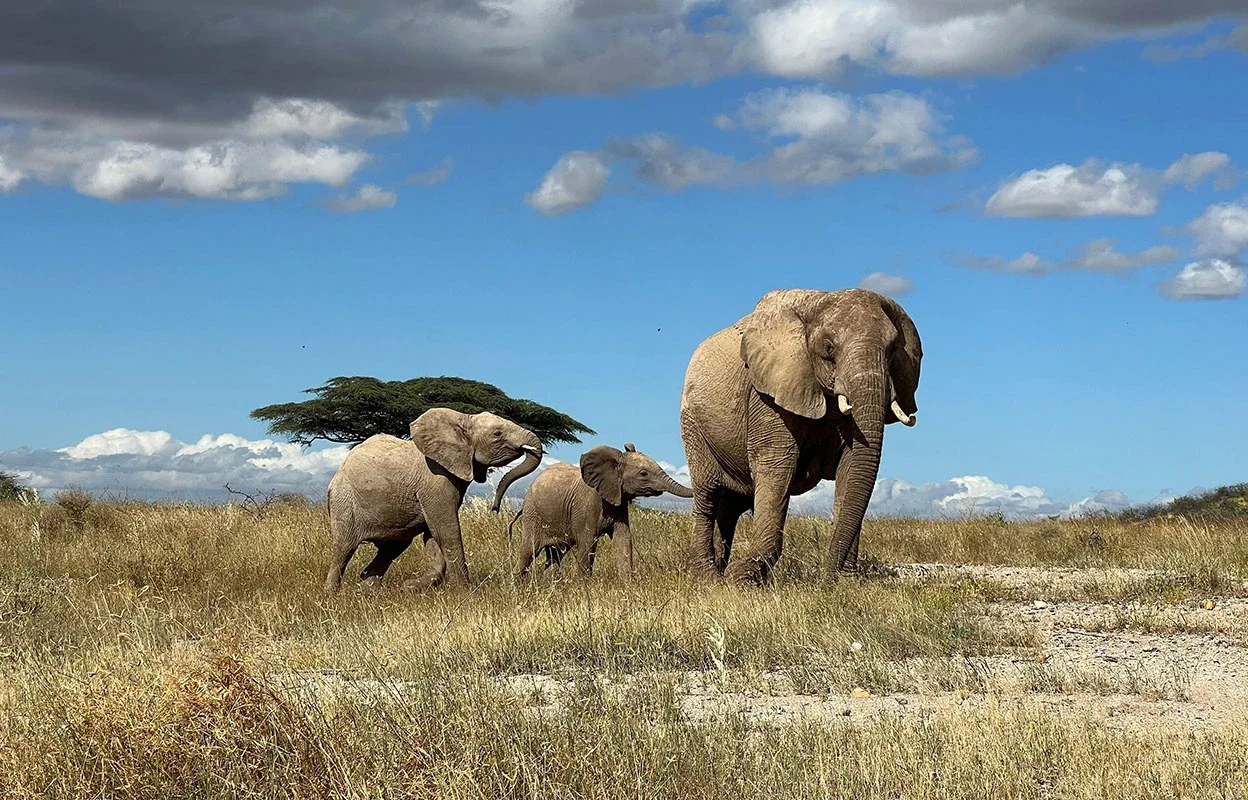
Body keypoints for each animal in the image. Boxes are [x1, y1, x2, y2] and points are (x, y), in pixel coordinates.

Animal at [324, 407, 543, 593]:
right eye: (497, 434)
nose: (494, 509)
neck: (463, 419)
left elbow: (433, 535)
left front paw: (411, 587)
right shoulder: (435, 479)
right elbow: (446, 530)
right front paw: (464, 591)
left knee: (392, 548)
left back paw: (367, 591)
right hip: (344, 500)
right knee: (343, 548)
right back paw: (332, 595)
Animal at [510, 443, 693, 580]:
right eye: (643, 474)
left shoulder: (619, 501)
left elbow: (623, 539)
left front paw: (628, 585)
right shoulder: (587, 504)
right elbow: (588, 542)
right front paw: (583, 586)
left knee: (555, 554)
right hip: (533, 514)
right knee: (529, 550)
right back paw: (519, 586)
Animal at [679, 288, 922, 585]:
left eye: (892, 351)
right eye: (829, 349)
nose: (826, 579)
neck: (819, 301)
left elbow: (852, 469)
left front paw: (847, 582)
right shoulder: (767, 394)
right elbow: (776, 465)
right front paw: (741, 580)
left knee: (730, 506)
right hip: (693, 423)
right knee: (708, 492)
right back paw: (709, 579)